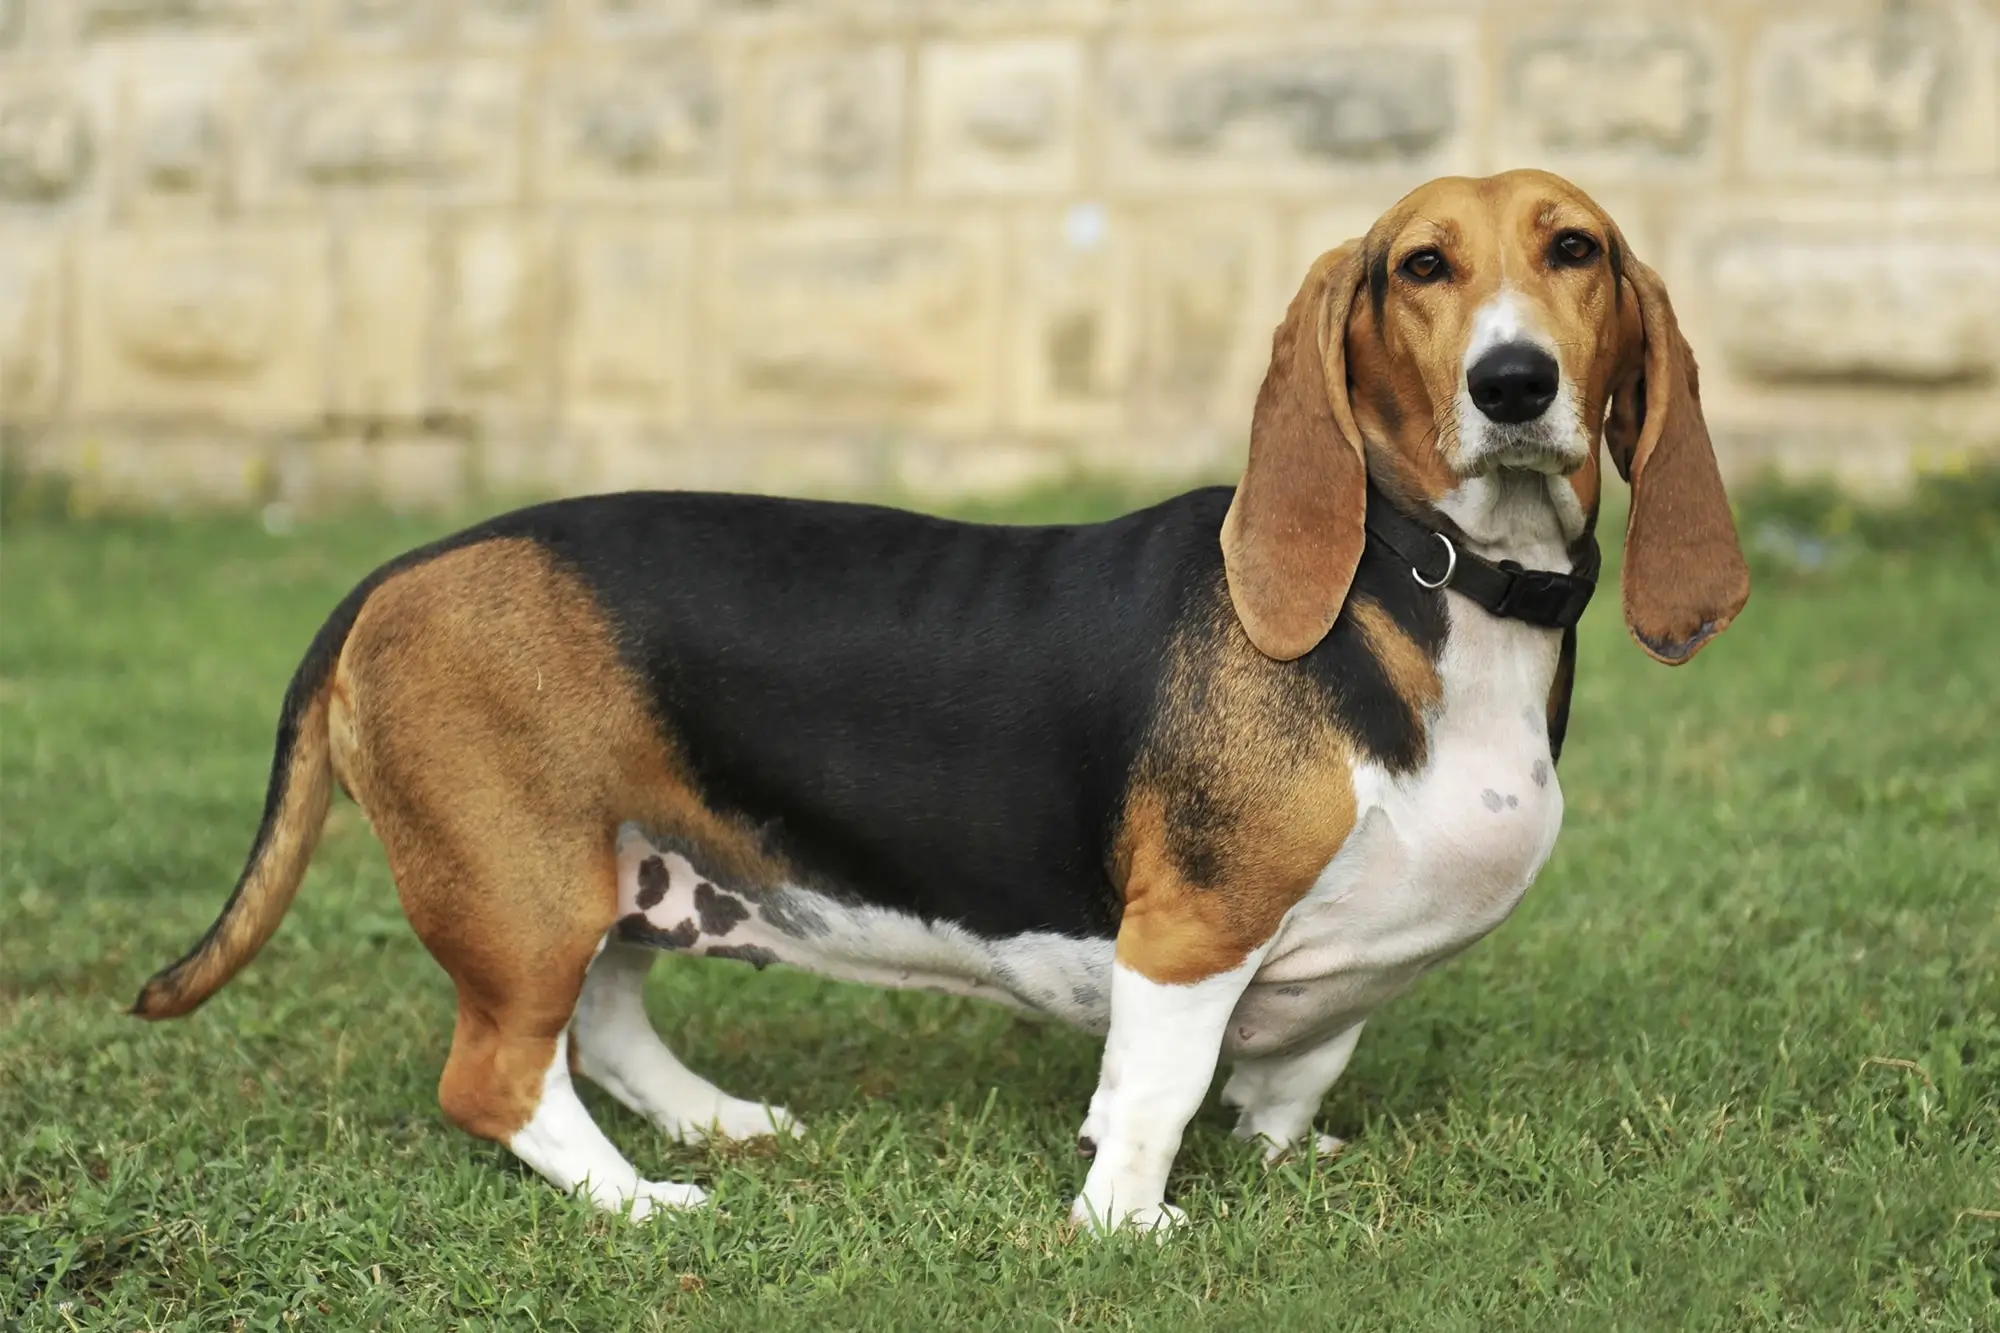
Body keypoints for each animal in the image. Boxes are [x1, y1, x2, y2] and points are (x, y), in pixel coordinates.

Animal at [133, 171, 1752, 1232]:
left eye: (1573, 248)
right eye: (1421, 266)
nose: (1514, 380)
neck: (1433, 584)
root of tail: (392, 575)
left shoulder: (1346, 975)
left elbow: (1295, 1070)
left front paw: (1283, 1159)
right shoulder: (1188, 938)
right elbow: (1157, 1093)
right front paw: (1130, 1223)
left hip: (612, 871)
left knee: (597, 1024)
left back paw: (715, 1121)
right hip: (520, 882)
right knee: (495, 1074)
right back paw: (644, 1202)